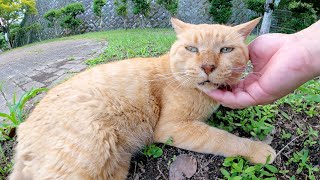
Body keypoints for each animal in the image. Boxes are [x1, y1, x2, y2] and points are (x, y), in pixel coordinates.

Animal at [10, 17, 276, 179]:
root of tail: (23, 131)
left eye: (226, 50)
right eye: (192, 49)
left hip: (118, 165)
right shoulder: (173, 127)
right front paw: (259, 150)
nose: (208, 67)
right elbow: (224, 139)